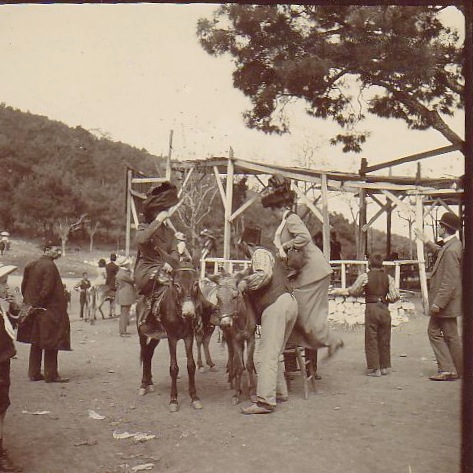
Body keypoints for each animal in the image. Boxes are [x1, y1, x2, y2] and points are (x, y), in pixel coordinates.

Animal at [137, 262, 203, 412]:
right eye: (177, 285)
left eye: (196, 283)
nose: (189, 313)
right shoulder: (172, 338)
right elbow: (174, 368)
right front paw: (173, 400)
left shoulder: (189, 337)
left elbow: (191, 366)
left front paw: (194, 398)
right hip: (142, 335)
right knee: (144, 352)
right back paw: (143, 385)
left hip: (156, 336)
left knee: (148, 354)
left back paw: (150, 383)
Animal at [208, 271, 257, 405]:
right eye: (218, 298)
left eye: (235, 296)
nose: (225, 323)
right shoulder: (235, 339)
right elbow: (238, 364)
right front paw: (236, 393)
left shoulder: (251, 338)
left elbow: (249, 363)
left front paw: (252, 392)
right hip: (229, 338)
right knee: (231, 355)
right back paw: (231, 378)